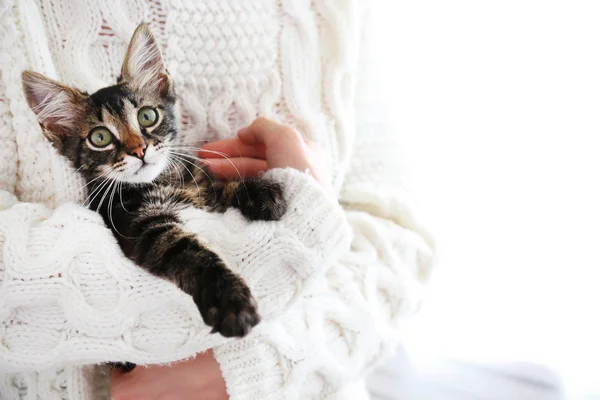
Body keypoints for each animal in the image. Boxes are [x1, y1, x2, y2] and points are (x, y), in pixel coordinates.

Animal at [22, 23, 288, 340]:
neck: (167, 180)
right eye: (100, 137)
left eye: (147, 116)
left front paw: (262, 192)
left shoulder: (203, 190)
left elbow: (223, 188)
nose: (139, 150)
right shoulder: (142, 225)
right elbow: (190, 252)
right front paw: (230, 301)